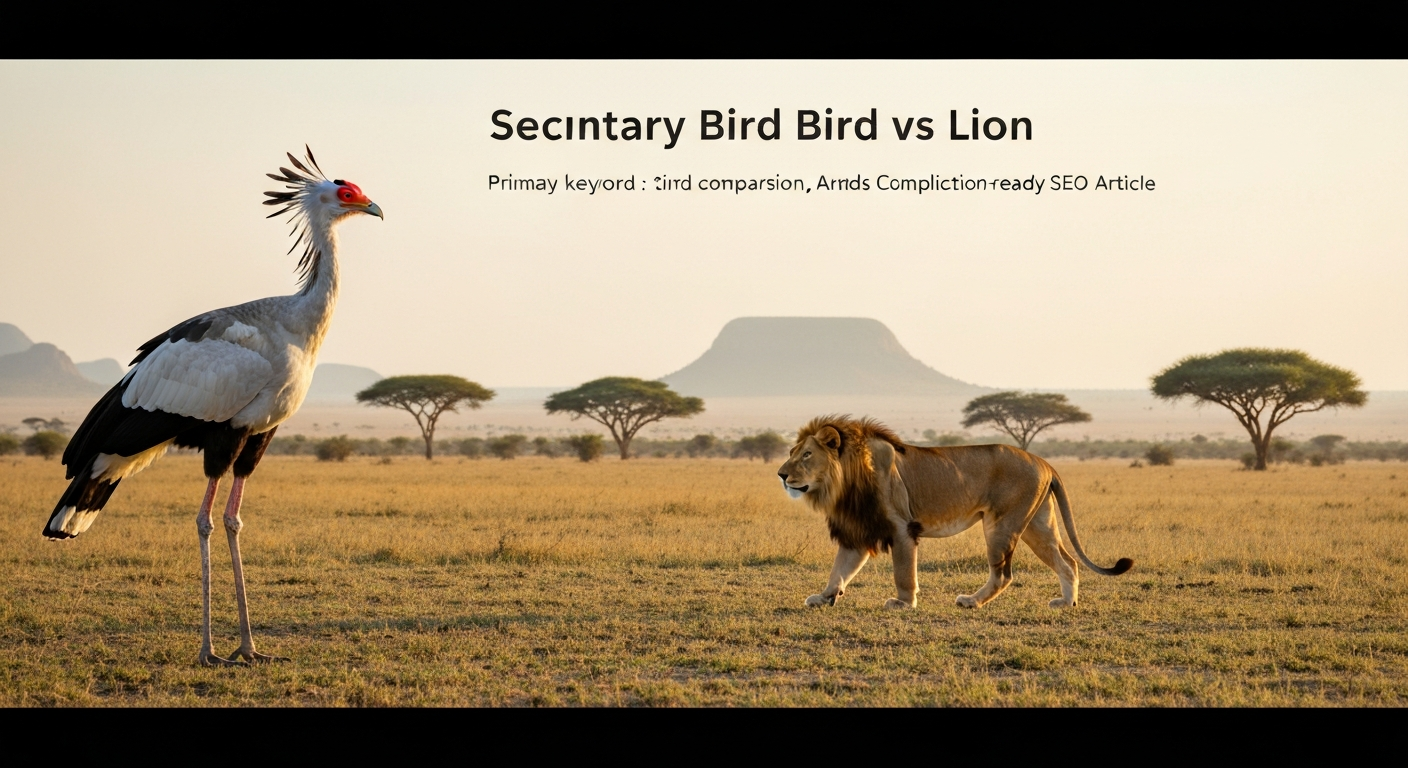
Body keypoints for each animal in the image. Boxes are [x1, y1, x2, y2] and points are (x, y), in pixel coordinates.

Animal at [777, 415, 1132, 610]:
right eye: (791, 452)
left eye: (806, 455)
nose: (780, 474)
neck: (843, 482)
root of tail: (1044, 462)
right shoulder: (858, 531)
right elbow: (840, 570)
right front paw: (825, 596)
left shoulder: (901, 527)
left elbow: (903, 573)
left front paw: (903, 603)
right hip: (1037, 525)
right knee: (1067, 561)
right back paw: (1066, 603)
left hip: (1001, 525)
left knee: (1004, 574)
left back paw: (971, 601)